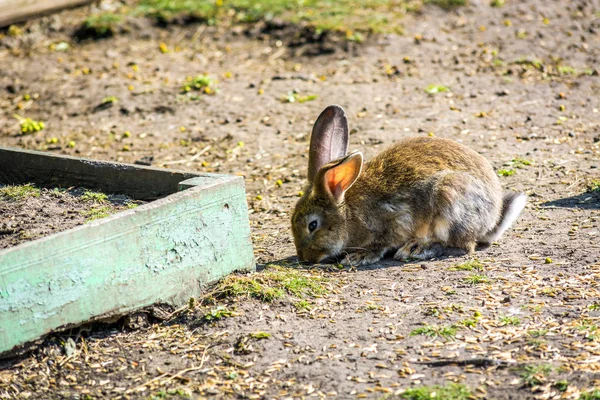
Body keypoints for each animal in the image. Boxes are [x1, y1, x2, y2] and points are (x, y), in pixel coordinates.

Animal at [290, 104, 524, 266]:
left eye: (313, 225)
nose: (306, 258)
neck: (346, 213)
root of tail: (492, 219)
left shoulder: (391, 221)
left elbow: (381, 243)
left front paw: (359, 256)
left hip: (449, 197)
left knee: (463, 246)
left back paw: (416, 249)